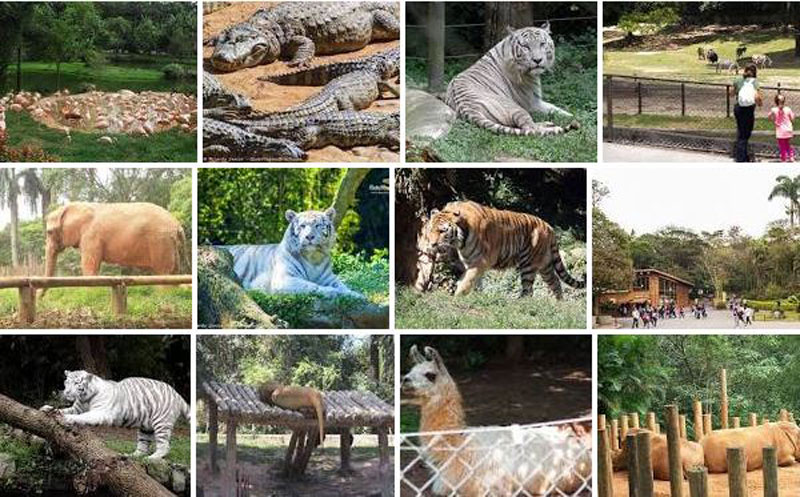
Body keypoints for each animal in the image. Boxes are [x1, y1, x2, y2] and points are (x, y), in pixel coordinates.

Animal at [41, 370, 190, 460]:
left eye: (76, 383)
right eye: (66, 382)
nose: (66, 392)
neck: (85, 398)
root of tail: (177, 394)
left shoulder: (100, 412)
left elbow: (82, 417)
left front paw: (67, 419)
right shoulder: (76, 408)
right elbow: (64, 409)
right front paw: (47, 408)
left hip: (161, 422)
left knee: (164, 445)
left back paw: (153, 458)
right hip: (145, 427)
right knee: (143, 445)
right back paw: (132, 456)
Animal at [44, 201, 187, 280]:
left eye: (49, 232)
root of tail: (177, 225)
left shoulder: (91, 236)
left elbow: (89, 267)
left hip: (160, 242)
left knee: (164, 272)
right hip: (170, 243)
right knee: (174, 271)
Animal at [219, 206, 362, 298]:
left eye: (317, 225)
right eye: (302, 226)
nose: (309, 237)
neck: (313, 258)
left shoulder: (329, 277)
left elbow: (343, 286)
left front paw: (356, 295)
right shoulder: (284, 279)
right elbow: (311, 286)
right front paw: (332, 291)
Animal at [416, 199, 584, 298]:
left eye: (442, 231)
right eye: (430, 229)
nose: (432, 244)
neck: (458, 242)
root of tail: (550, 227)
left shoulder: (481, 261)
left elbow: (467, 281)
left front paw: (458, 297)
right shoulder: (470, 262)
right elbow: (474, 281)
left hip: (529, 264)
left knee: (529, 290)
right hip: (545, 265)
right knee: (555, 282)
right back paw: (558, 303)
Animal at [446, 22, 580, 136]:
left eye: (542, 44)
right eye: (526, 46)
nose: (537, 60)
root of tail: (466, 108)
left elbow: (557, 109)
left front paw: (573, 114)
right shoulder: (533, 103)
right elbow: (552, 109)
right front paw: (577, 116)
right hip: (516, 108)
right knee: (531, 129)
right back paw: (551, 126)